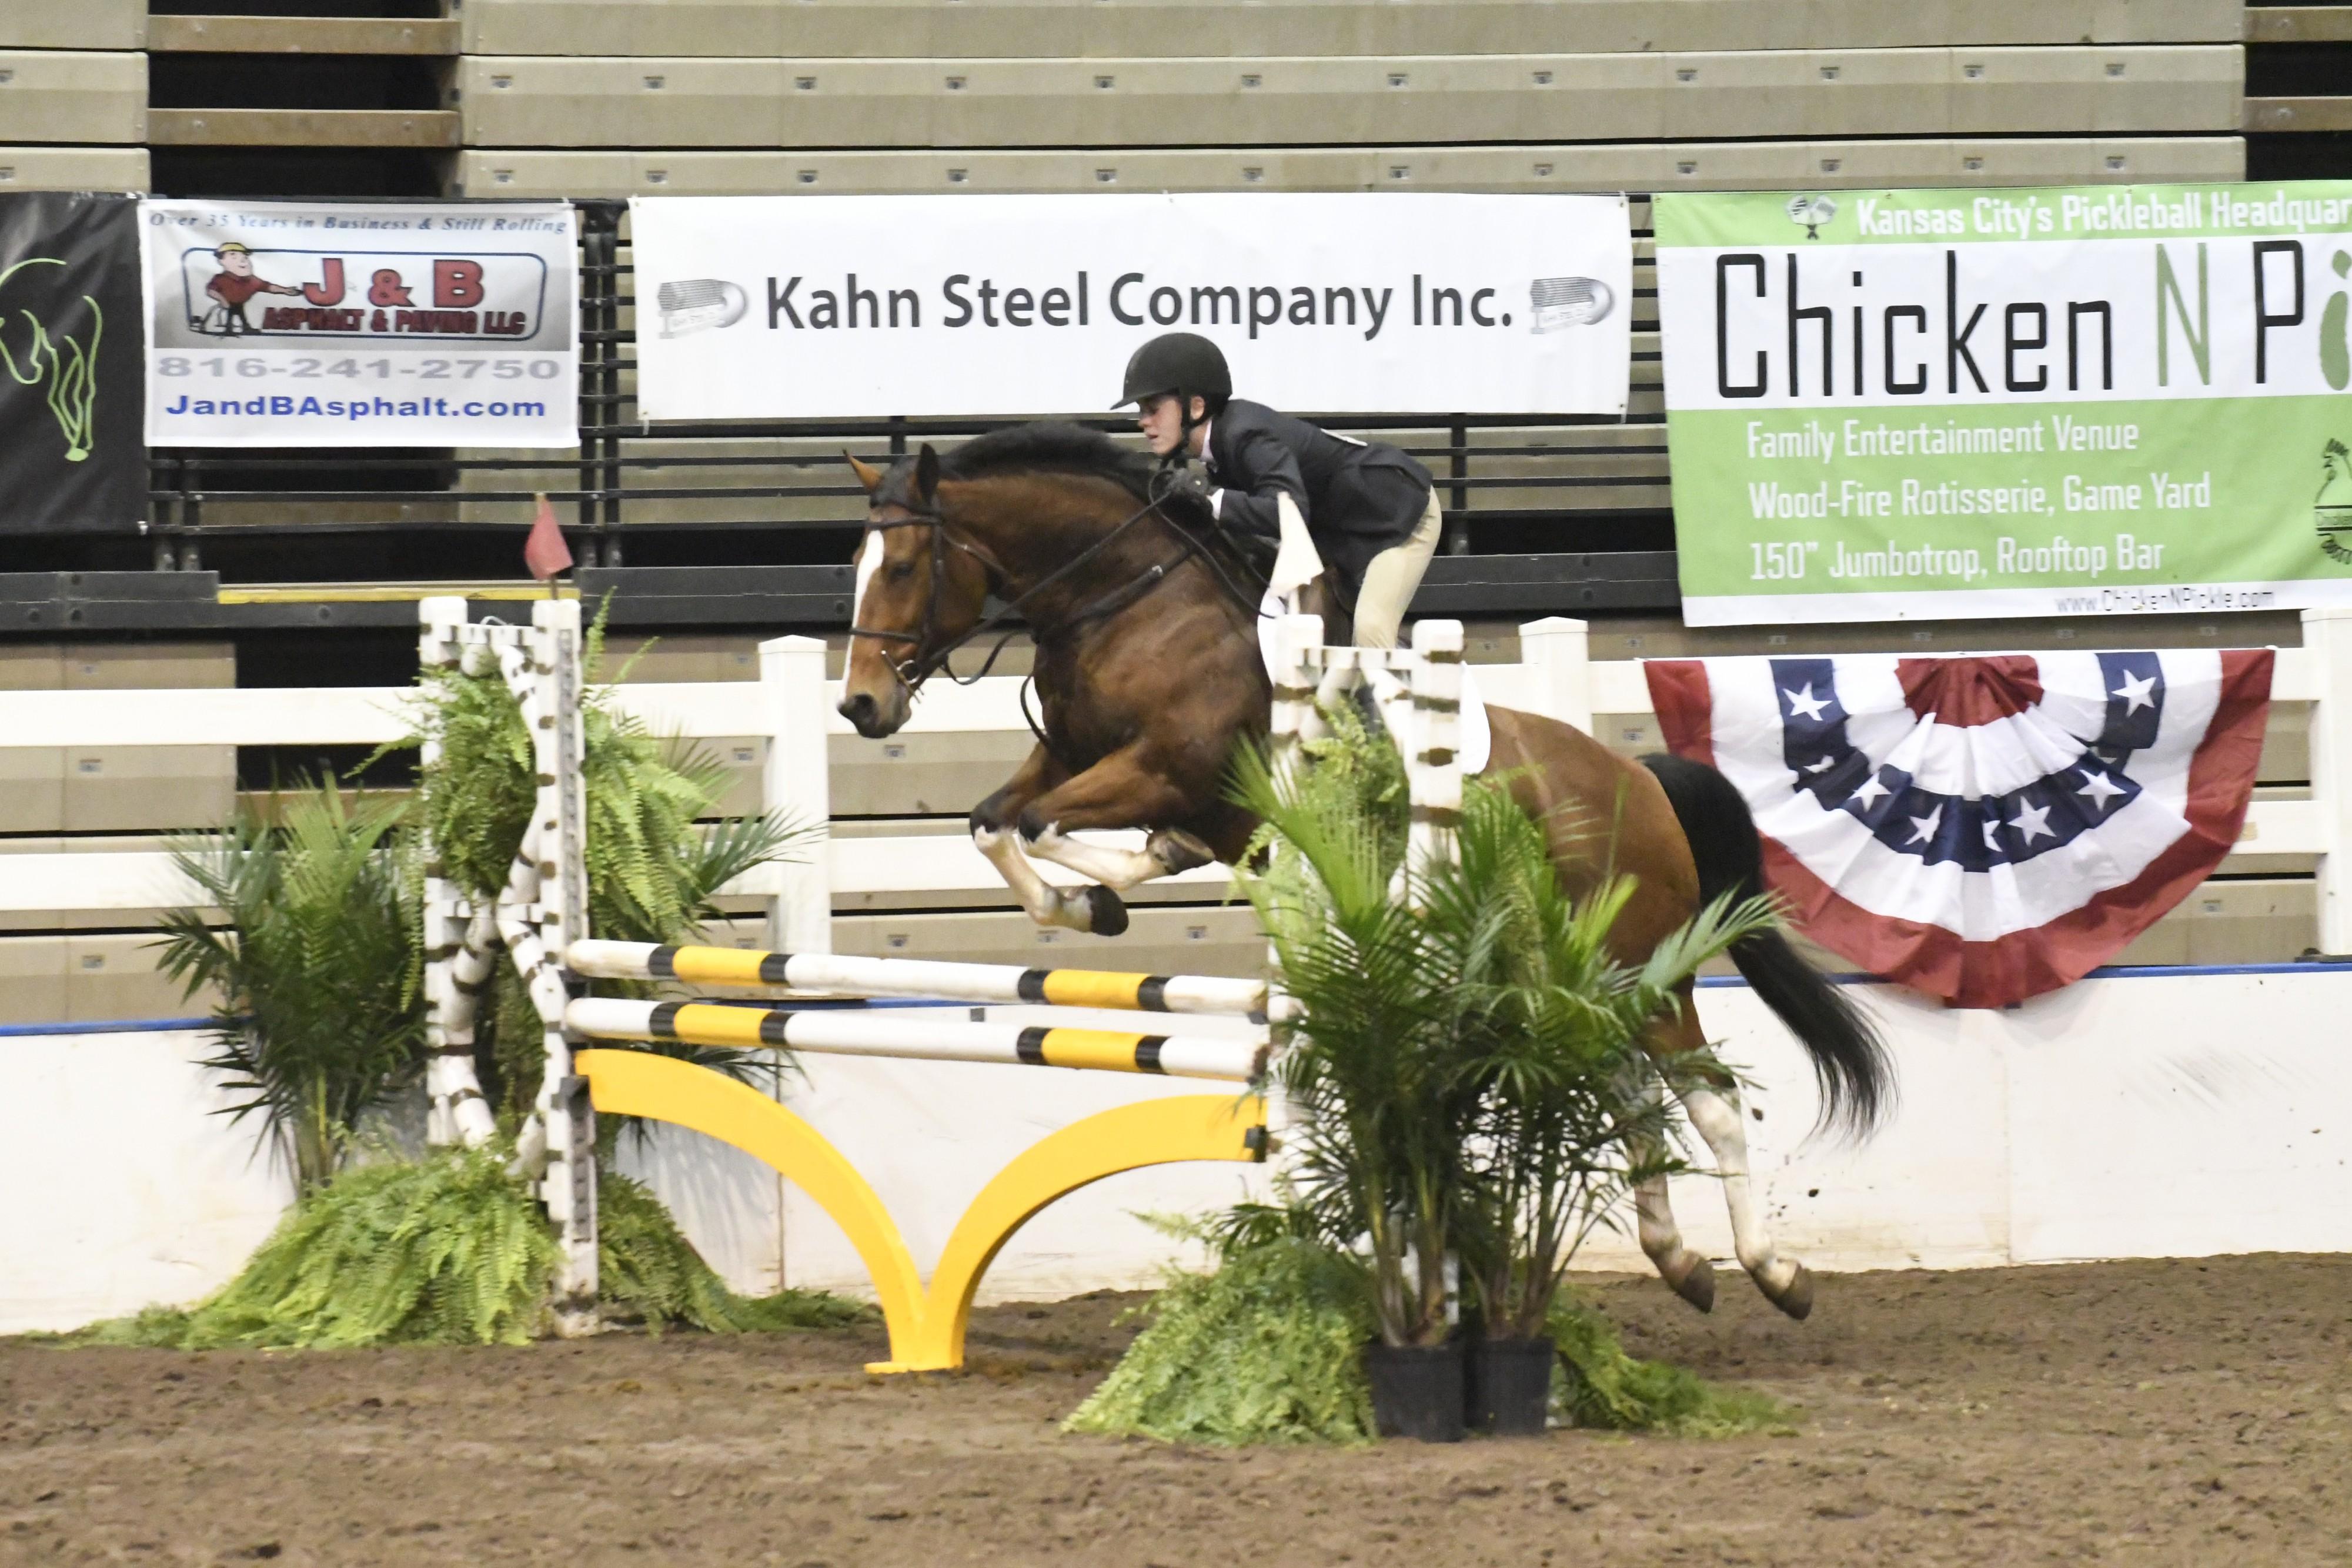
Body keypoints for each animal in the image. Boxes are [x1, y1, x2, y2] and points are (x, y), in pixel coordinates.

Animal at [837, 422, 1890, 1320]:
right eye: (856, 568)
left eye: (902, 566)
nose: (860, 708)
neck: (1128, 599)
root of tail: (1639, 777)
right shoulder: (1073, 757)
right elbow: (995, 821)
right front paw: (1101, 892)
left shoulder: (1163, 769)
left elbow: (1040, 821)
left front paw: (1100, 893)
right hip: (1570, 972)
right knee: (1629, 1093)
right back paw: (1681, 1261)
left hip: (1642, 966)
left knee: (1709, 1099)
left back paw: (1775, 1271)